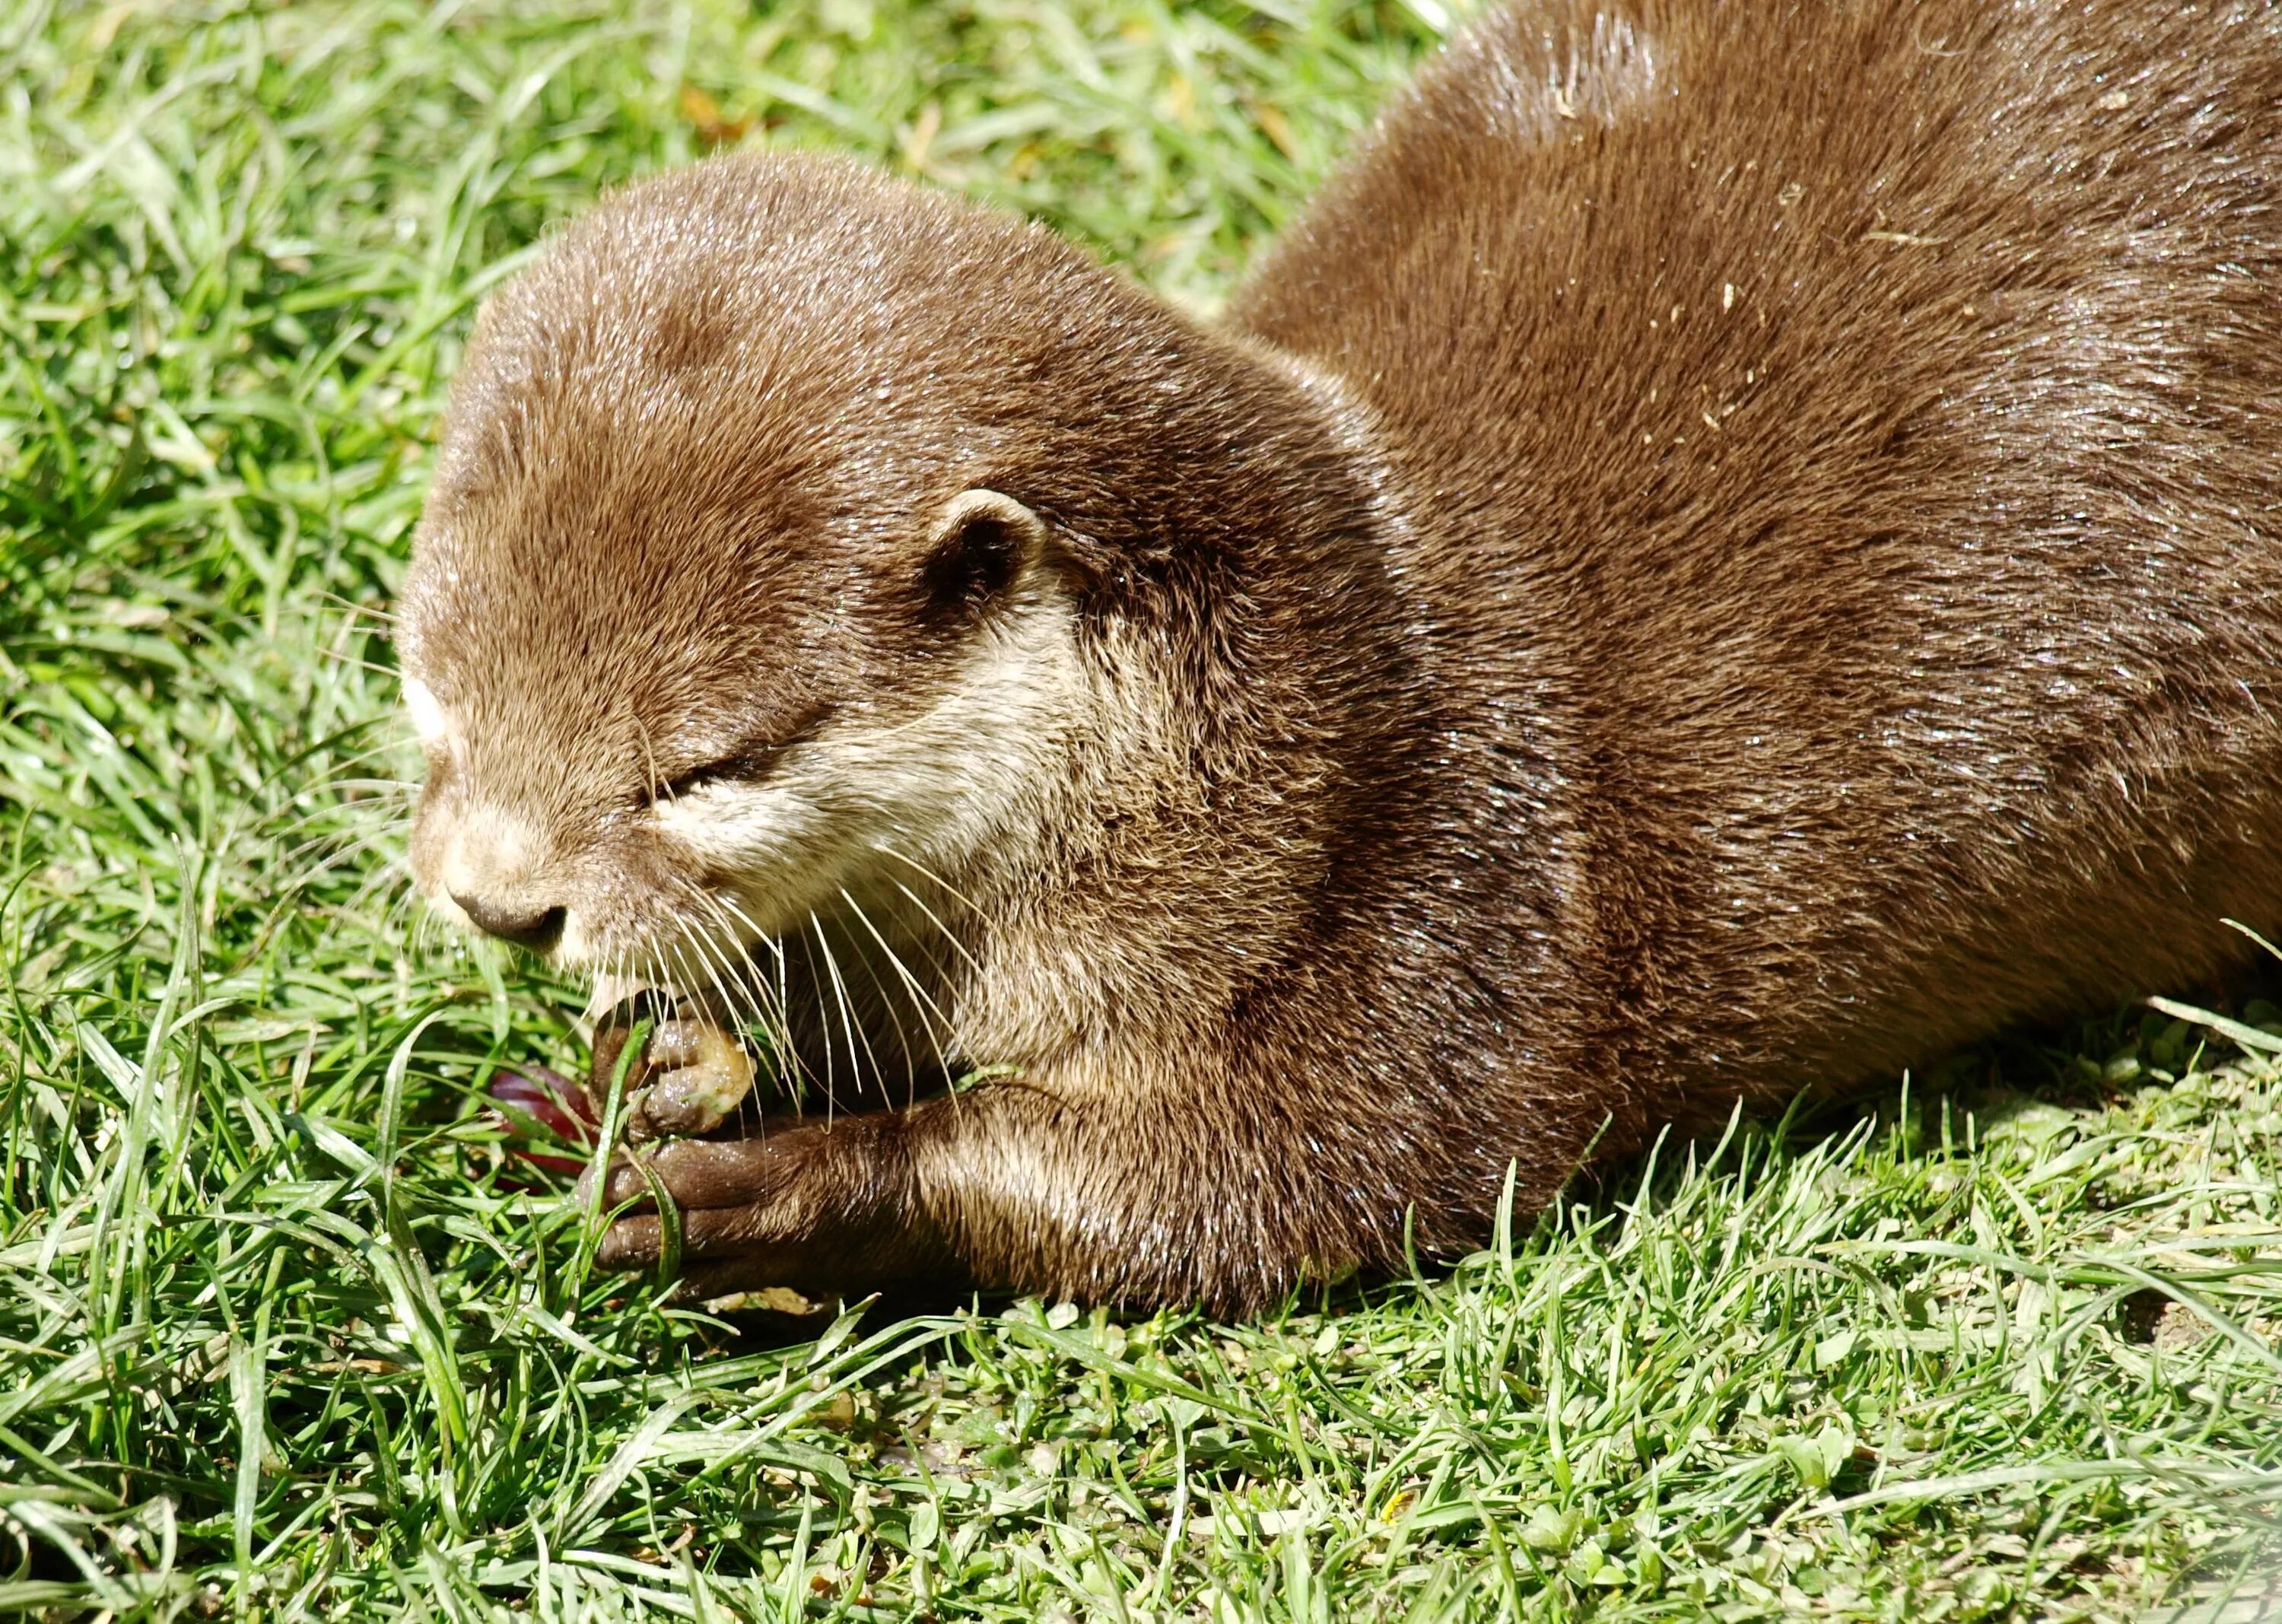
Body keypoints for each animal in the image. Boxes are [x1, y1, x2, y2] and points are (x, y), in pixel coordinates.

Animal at [402, 0, 2282, 1314]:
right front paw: (662, 1067)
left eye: (705, 769)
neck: (1301, 746)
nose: (501, 905)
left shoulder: (1427, 920)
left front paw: (772, 1183)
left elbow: (1258, 1186)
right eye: (432, 699)